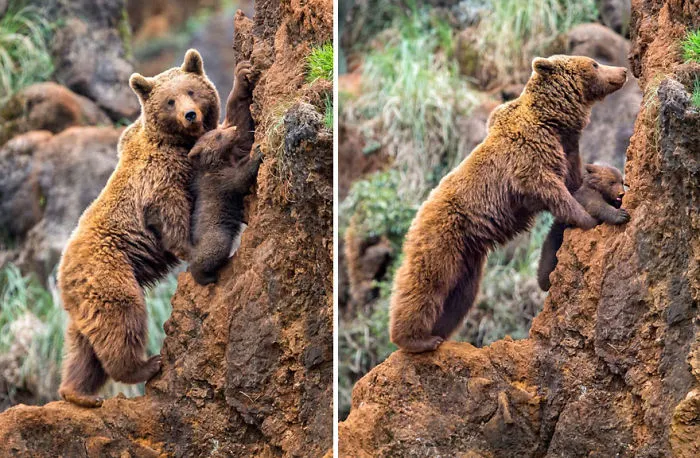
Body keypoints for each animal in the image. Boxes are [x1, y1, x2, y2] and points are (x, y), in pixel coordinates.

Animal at [57, 49, 220, 407]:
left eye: (191, 90)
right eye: (170, 101)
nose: (190, 114)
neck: (178, 143)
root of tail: (62, 272)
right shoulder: (158, 177)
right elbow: (170, 211)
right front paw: (193, 249)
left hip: (82, 302)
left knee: (83, 345)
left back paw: (78, 393)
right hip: (109, 268)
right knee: (122, 315)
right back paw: (147, 365)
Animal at [187, 61, 262, 285]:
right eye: (218, 136)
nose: (231, 130)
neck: (221, 161)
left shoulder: (235, 150)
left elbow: (242, 121)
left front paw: (243, 74)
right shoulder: (219, 181)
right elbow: (238, 179)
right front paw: (257, 153)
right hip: (216, 233)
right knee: (209, 254)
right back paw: (206, 276)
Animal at [537, 163, 629, 291]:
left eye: (622, 181)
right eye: (611, 182)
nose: (621, 193)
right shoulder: (586, 197)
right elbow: (597, 206)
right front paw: (621, 215)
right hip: (558, 234)